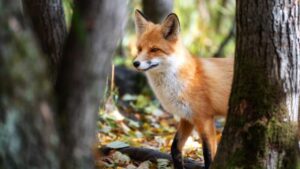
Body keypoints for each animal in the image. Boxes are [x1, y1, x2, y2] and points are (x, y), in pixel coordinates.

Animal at [133, 9, 234, 168]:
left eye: (154, 49)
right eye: (139, 49)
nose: (135, 63)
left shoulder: (205, 118)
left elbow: (208, 154)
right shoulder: (187, 118)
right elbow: (175, 147)